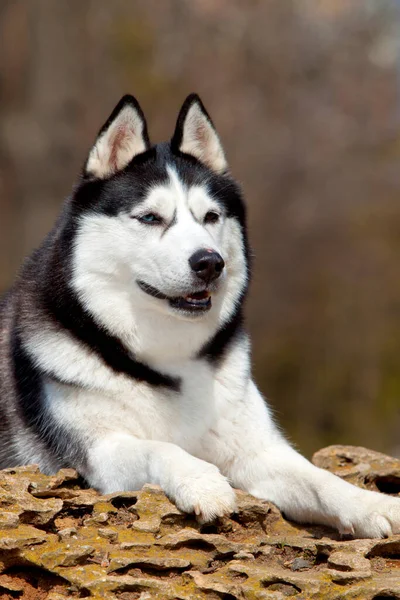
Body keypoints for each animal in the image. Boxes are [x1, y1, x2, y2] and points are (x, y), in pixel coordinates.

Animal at [0, 95, 398, 540]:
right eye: (151, 217)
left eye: (210, 217)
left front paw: (372, 503)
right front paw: (203, 481)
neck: (166, 361)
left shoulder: (257, 450)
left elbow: (320, 480)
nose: (210, 262)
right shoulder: (97, 451)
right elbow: (159, 447)